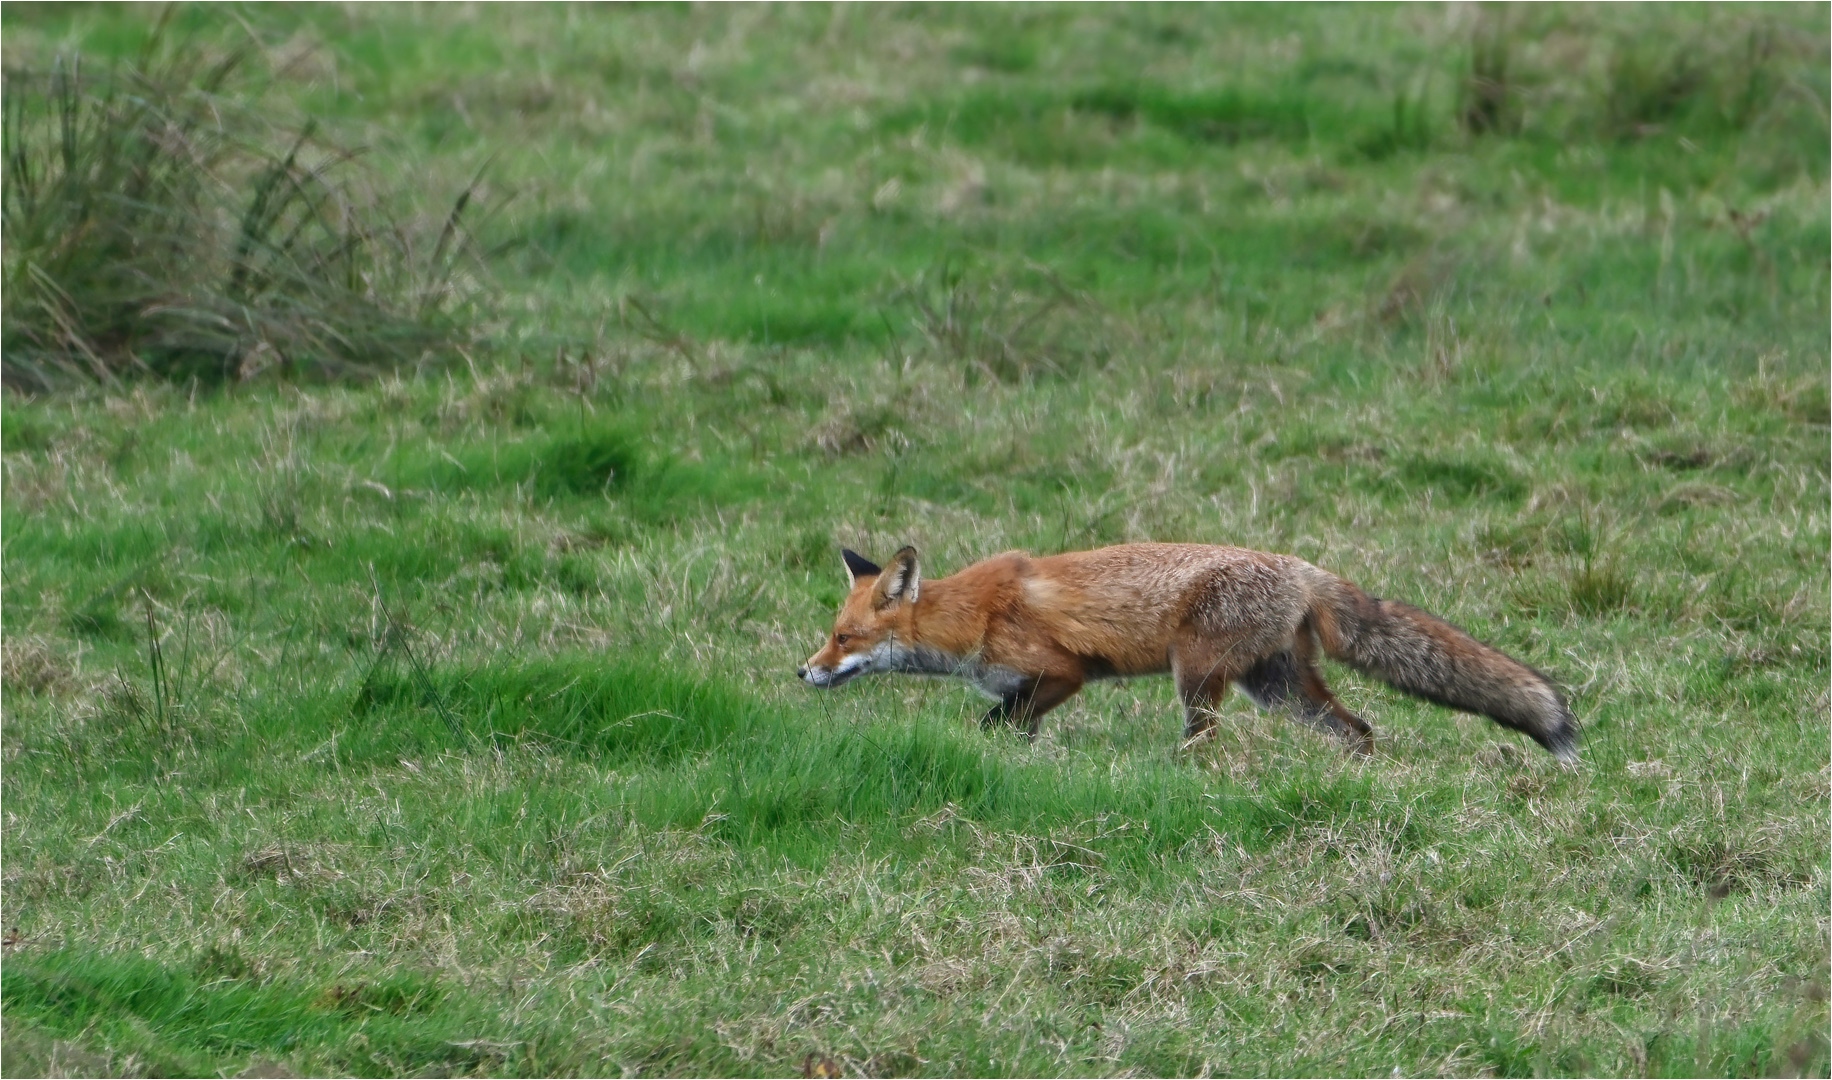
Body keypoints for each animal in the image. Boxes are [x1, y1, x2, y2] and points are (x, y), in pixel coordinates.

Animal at [795, 541, 1582, 761]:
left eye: (843, 638)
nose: (803, 670)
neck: (969, 617)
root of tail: (1301, 567)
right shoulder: (1029, 690)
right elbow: (1009, 730)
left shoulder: (1061, 672)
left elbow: (995, 724)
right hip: (1279, 689)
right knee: (1357, 729)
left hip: (1197, 677)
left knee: (1205, 740)